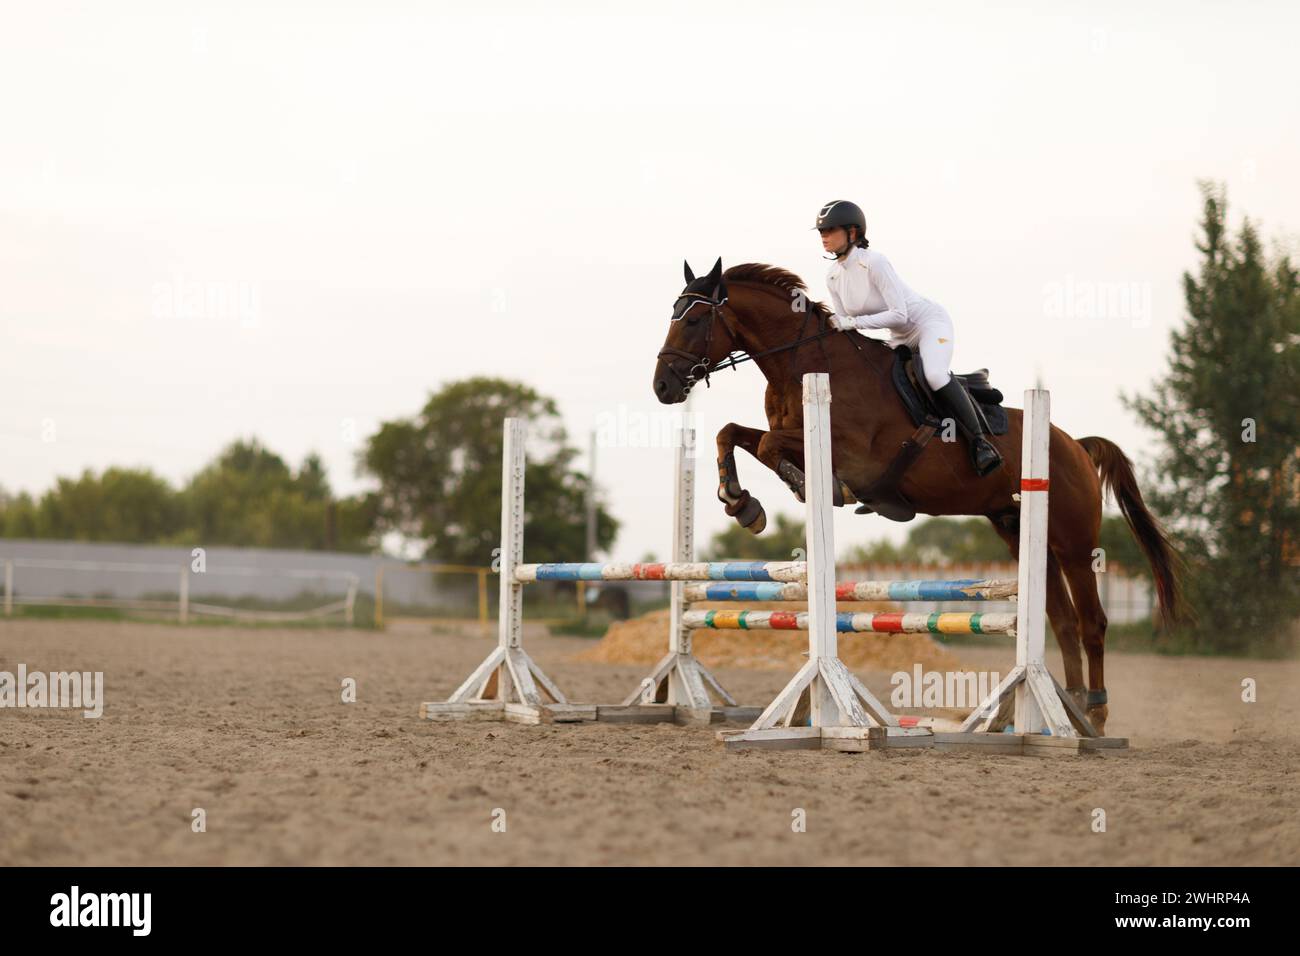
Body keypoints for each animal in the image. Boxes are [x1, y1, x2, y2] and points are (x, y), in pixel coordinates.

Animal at [650, 254, 1180, 733]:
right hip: (1019, 533)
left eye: (693, 319)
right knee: (1064, 621)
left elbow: (766, 443)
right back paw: (1065, 711)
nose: (663, 387)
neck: (804, 363)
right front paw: (742, 503)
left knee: (1091, 622)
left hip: (1072, 542)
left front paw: (789, 489)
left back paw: (1095, 714)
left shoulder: (851, 455)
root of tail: (1075, 445)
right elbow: (732, 433)